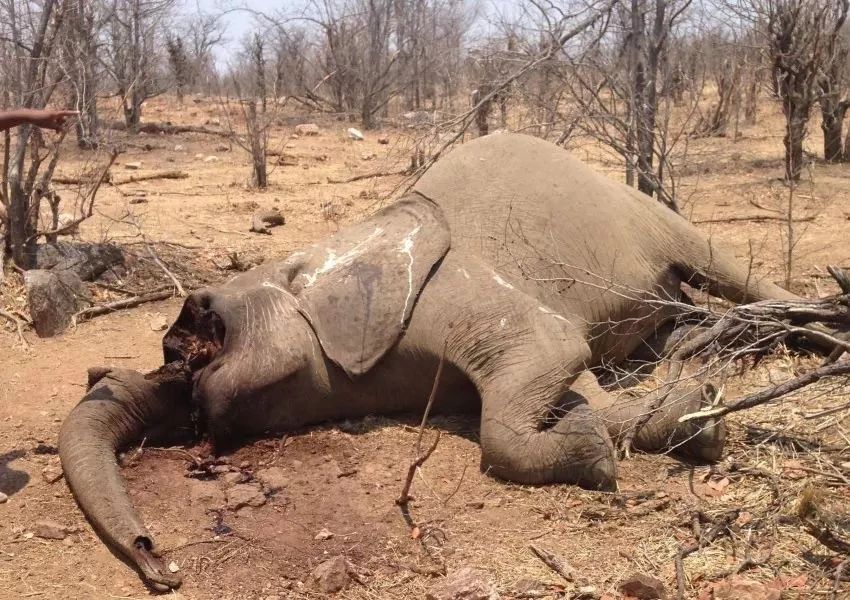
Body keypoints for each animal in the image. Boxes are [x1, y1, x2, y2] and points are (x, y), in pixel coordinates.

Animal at [58, 134, 796, 588]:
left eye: (200, 328)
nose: (160, 564)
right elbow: (581, 379)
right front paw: (675, 422)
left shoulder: (447, 288)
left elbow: (552, 354)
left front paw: (598, 449)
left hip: (651, 214)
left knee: (726, 269)